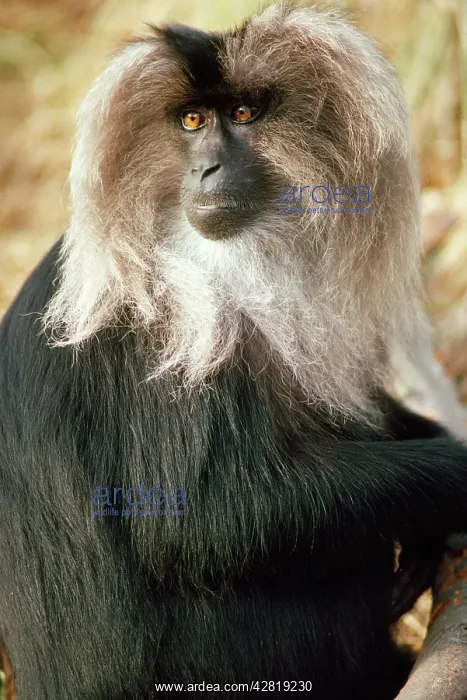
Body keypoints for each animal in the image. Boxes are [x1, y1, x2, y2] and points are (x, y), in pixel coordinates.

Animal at [0, 4, 466, 699]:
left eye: (243, 115)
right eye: (193, 122)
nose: (208, 170)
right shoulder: (165, 325)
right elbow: (202, 520)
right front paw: (452, 476)